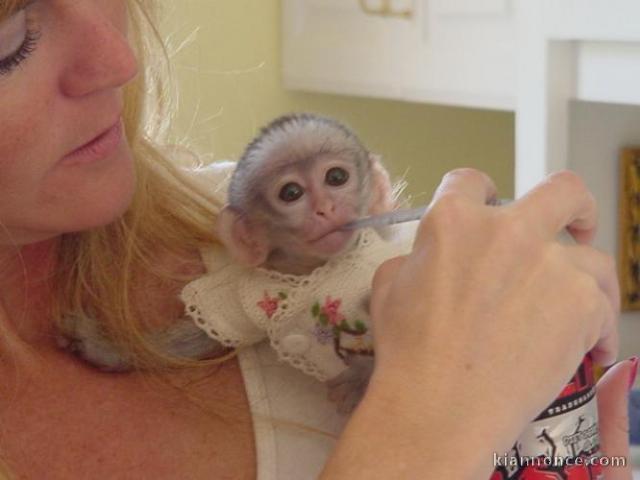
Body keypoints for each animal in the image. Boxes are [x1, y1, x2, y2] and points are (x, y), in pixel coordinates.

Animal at [59, 113, 416, 414]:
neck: (312, 272)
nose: (325, 208)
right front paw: (105, 348)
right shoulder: (243, 296)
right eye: (291, 192)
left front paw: (363, 376)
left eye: (337, 176)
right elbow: (206, 334)